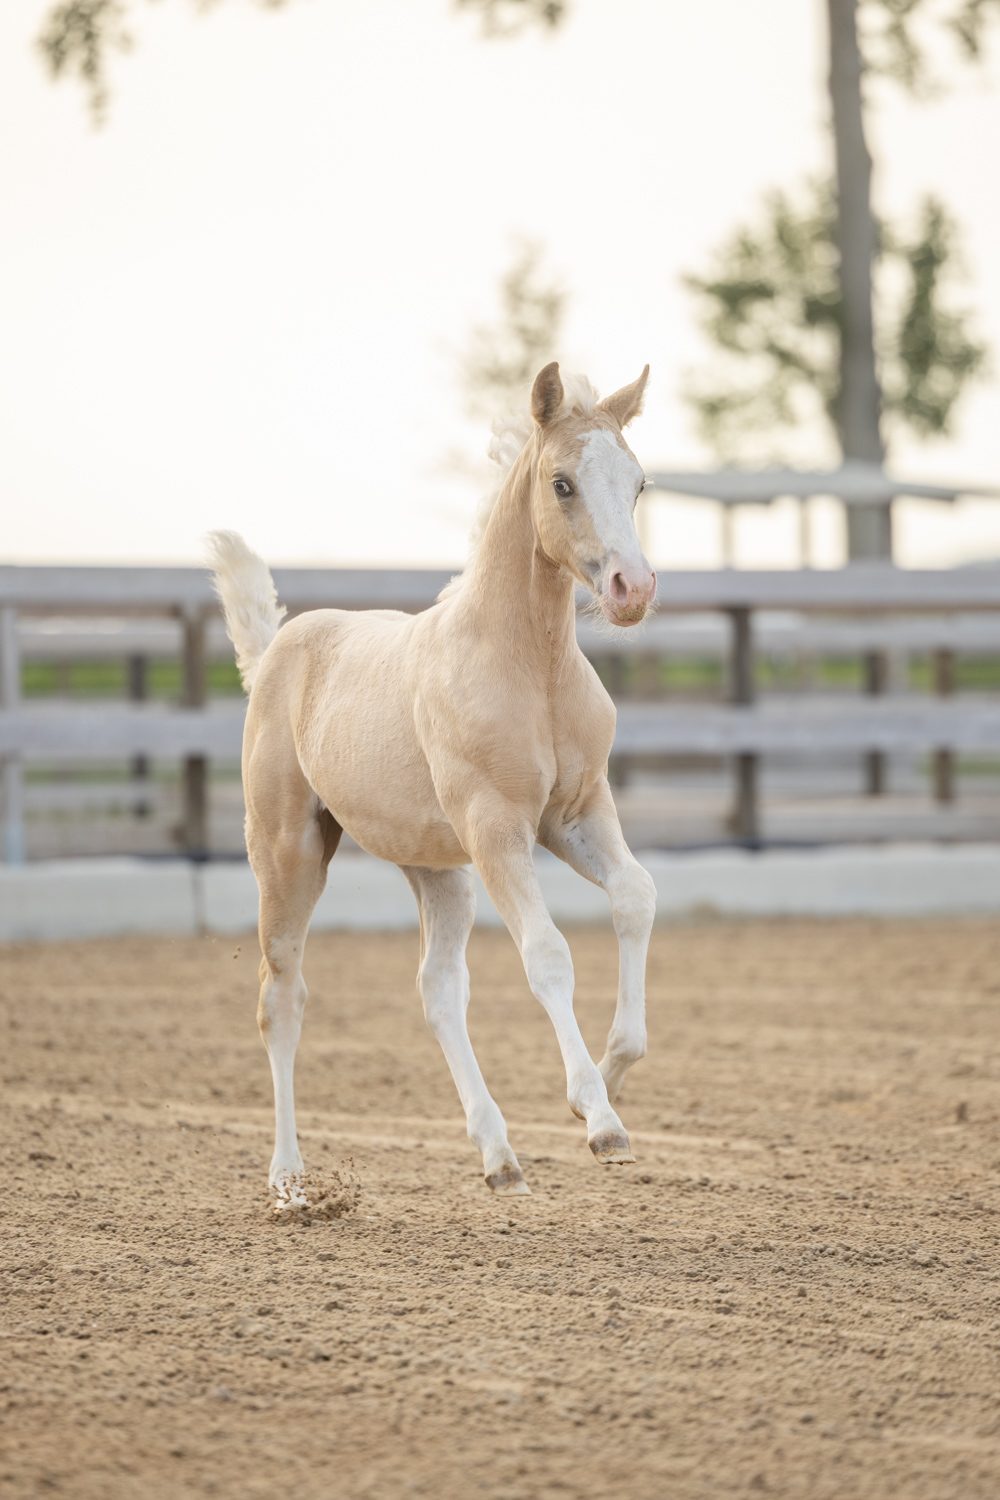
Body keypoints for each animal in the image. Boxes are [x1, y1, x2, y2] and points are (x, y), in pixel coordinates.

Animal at [208, 361, 658, 1207]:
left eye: (639, 482)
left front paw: (615, 1069)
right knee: (280, 999)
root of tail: (275, 647)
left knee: (438, 989)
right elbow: (547, 954)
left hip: (437, 871)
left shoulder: (576, 814)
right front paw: (599, 1116)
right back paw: (288, 1181)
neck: (530, 664)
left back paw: (499, 1155)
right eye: (562, 483)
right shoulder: (496, 828)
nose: (632, 589)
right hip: (287, 853)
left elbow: (635, 898)